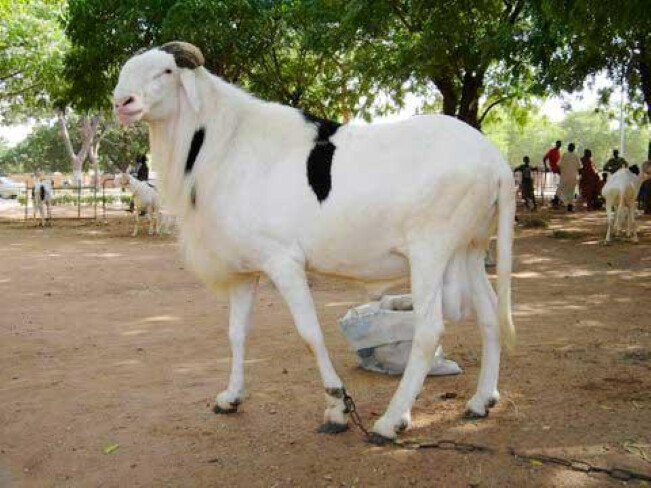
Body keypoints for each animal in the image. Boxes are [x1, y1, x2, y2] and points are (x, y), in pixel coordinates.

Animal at [113, 41, 516, 443]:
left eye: (166, 71)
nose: (122, 102)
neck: (227, 144)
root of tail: (495, 161)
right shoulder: (246, 270)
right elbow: (237, 332)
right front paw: (231, 397)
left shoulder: (283, 261)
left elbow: (310, 334)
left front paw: (337, 407)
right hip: (470, 247)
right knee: (490, 315)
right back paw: (482, 401)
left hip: (430, 250)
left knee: (429, 330)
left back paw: (391, 421)